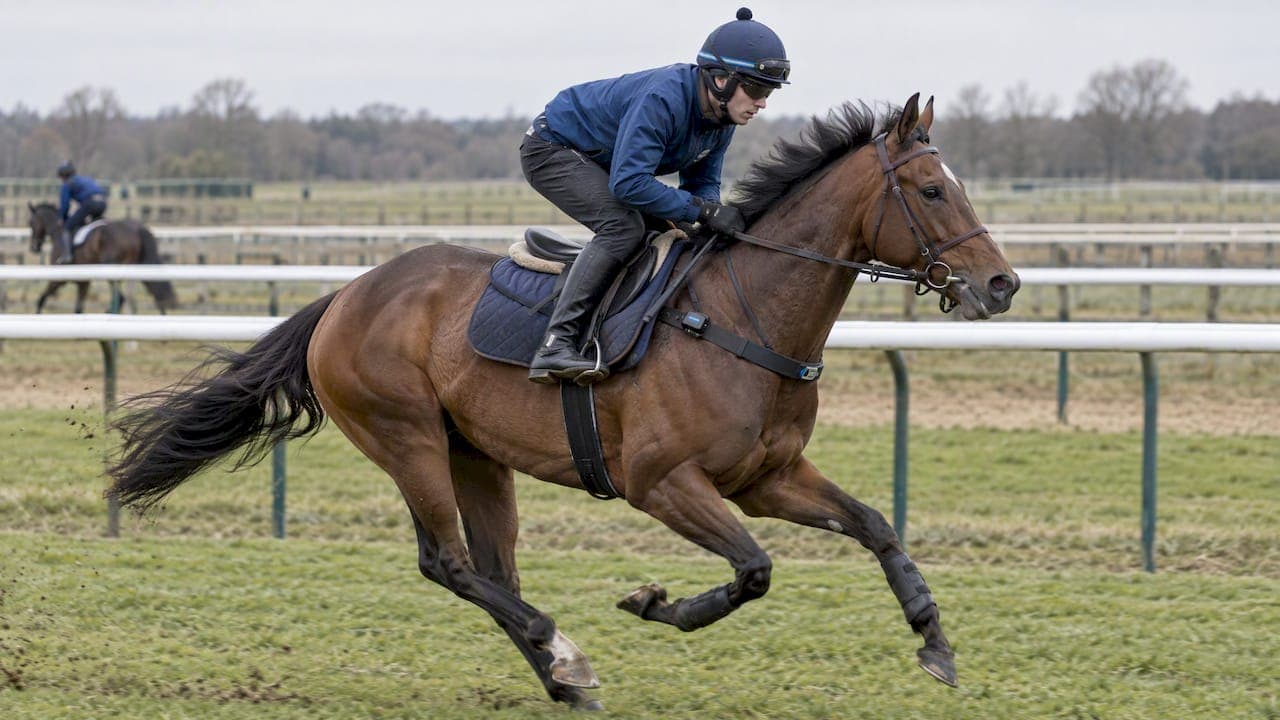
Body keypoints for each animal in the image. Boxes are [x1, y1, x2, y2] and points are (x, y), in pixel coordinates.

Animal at [27, 201, 177, 314]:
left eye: (31, 223)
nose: (34, 247)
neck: (57, 233)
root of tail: (135, 228)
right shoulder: (83, 282)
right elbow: (78, 309)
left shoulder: (58, 279)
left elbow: (41, 299)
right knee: (152, 291)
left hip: (112, 268)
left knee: (121, 297)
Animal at [106, 95, 1019, 711]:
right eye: (931, 191)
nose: (1002, 284)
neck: (738, 315)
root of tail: (343, 297)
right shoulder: (661, 482)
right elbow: (754, 569)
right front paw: (653, 603)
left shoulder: (768, 476)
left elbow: (875, 524)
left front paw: (935, 641)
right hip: (406, 437)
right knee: (448, 564)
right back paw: (563, 651)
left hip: (475, 454)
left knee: (491, 568)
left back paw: (561, 677)